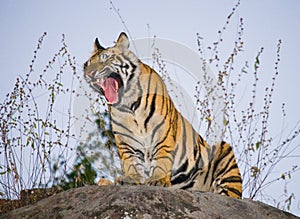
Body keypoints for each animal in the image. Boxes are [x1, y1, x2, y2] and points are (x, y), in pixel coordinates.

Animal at [83, 32, 243, 198]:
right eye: (87, 64)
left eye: (105, 58)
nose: (89, 74)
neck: (128, 105)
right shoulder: (124, 141)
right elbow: (130, 162)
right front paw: (130, 178)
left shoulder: (162, 133)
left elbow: (161, 158)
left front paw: (158, 180)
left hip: (224, 153)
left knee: (229, 194)